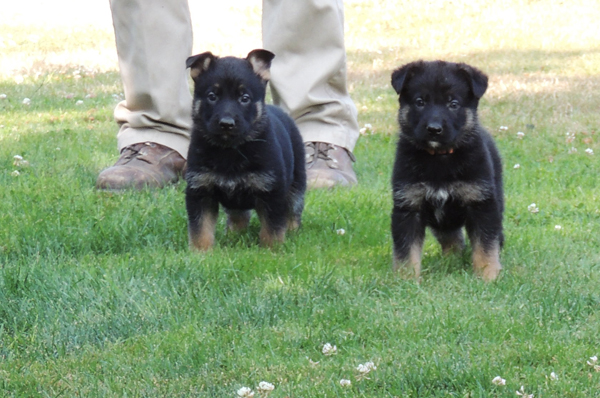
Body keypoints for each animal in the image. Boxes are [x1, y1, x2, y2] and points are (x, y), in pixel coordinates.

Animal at [185, 49, 308, 249]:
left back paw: (293, 232)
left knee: (293, 211)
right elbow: (200, 228)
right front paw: (200, 252)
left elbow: (273, 226)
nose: (226, 124)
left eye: (244, 98)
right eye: (212, 96)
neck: (230, 150)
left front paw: (272, 250)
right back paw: (234, 235)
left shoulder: (272, 191)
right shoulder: (200, 189)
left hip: (296, 183)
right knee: (239, 216)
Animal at [392, 60, 504, 282]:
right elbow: (406, 250)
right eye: (420, 102)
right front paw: (406, 280)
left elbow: (486, 245)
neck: (439, 157)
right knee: (452, 238)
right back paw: (451, 259)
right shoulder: (408, 206)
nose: (434, 129)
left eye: (453, 104)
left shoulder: (481, 204)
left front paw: (488, 276)